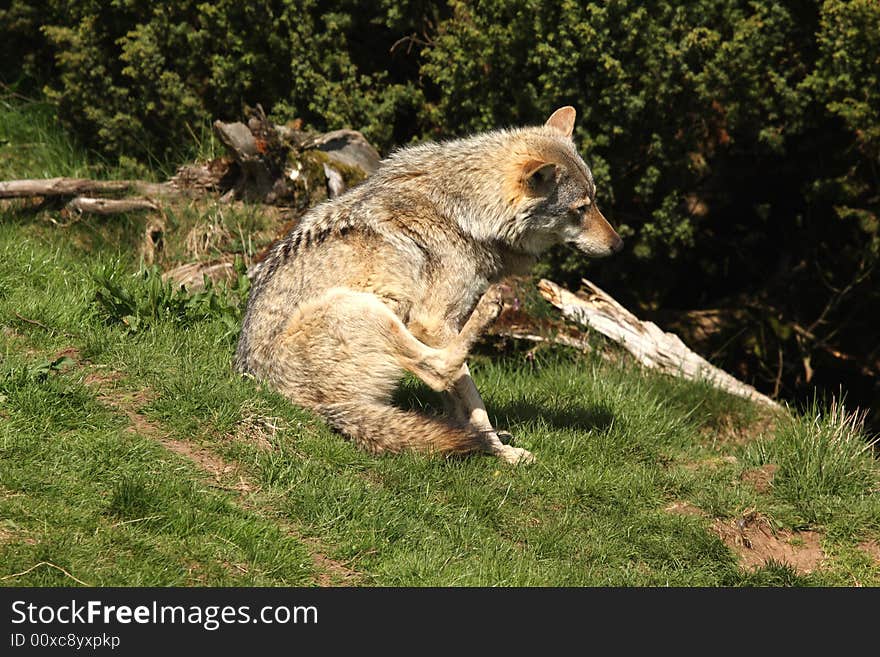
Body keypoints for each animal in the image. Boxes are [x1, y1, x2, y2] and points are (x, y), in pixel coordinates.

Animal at [234, 107, 620, 464]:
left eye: (595, 200)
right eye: (580, 209)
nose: (618, 245)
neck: (468, 215)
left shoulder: (443, 326)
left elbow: (460, 398)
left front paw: (487, 442)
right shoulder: (434, 323)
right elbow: (469, 394)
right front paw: (497, 450)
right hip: (362, 307)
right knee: (438, 368)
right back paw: (490, 312)